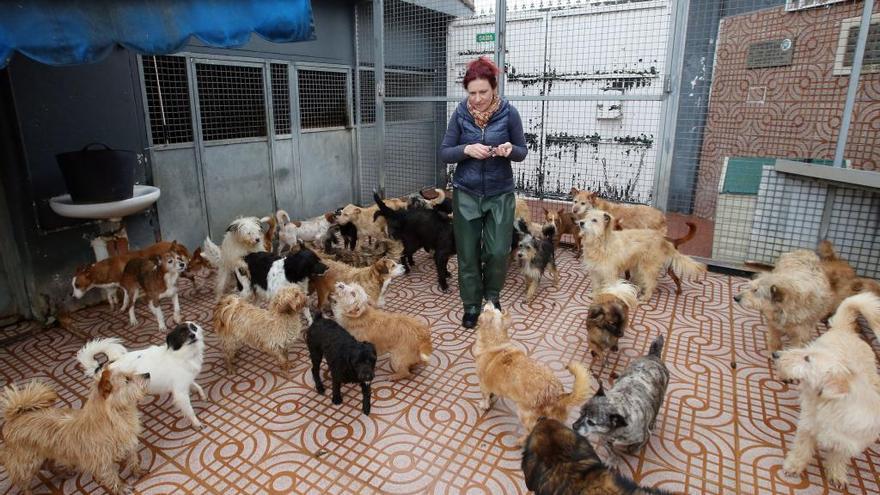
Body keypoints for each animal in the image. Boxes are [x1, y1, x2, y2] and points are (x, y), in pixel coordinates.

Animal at [0, 370, 149, 494]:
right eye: (127, 380)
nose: (147, 374)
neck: (115, 417)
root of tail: (15, 417)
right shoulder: (103, 462)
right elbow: (112, 476)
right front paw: (121, 487)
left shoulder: (129, 444)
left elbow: (133, 459)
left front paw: (138, 472)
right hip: (27, 464)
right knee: (23, 482)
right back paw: (29, 491)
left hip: (48, 452)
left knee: (48, 465)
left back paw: (63, 473)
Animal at [75, 322, 206, 430]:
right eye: (183, 333)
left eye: (194, 329)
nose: (193, 335)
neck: (183, 354)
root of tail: (103, 367)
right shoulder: (180, 392)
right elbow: (190, 410)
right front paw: (197, 423)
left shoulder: (186, 380)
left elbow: (197, 385)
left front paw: (202, 395)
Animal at [474, 304, 592, 448]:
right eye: (496, 309)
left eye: (490, 309)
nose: (489, 301)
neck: (495, 341)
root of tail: (557, 394)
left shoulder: (482, 384)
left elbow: (485, 397)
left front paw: (484, 405)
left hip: (523, 413)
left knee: (531, 430)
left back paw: (522, 441)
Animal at [576, 209, 708, 302]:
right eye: (585, 218)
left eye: (594, 220)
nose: (581, 223)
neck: (600, 242)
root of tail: (662, 239)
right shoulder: (595, 271)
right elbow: (596, 285)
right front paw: (594, 295)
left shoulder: (610, 273)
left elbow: (610, 287)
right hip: (637, 266)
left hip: (647, 267)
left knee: (651, 282)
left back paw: (646, 297)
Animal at [772, 292, 880, 490]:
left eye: (807, 359)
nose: (776, 355)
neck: (834, 407)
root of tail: (846, 330)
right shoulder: (808, 426)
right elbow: (802, 449)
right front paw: (793, 466)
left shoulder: (849, 442)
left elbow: (838, 457)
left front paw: (837, 474)